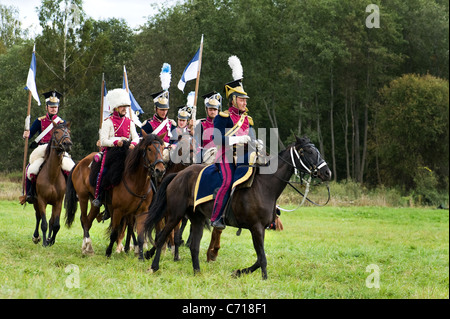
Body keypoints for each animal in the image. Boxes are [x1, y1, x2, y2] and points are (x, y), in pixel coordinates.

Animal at [143, 137, 330, 280]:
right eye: (309, 152)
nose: (327, 173)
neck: (264, 186)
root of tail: (178, 175)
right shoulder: (256, 228)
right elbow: (262, 258)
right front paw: (264, 278)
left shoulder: (260, 229)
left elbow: (259, 258)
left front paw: (239, 272)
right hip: (175, 215)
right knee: (162, 237)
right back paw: (153, 266)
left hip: (196, 219)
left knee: (194, 246)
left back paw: (197, 272)